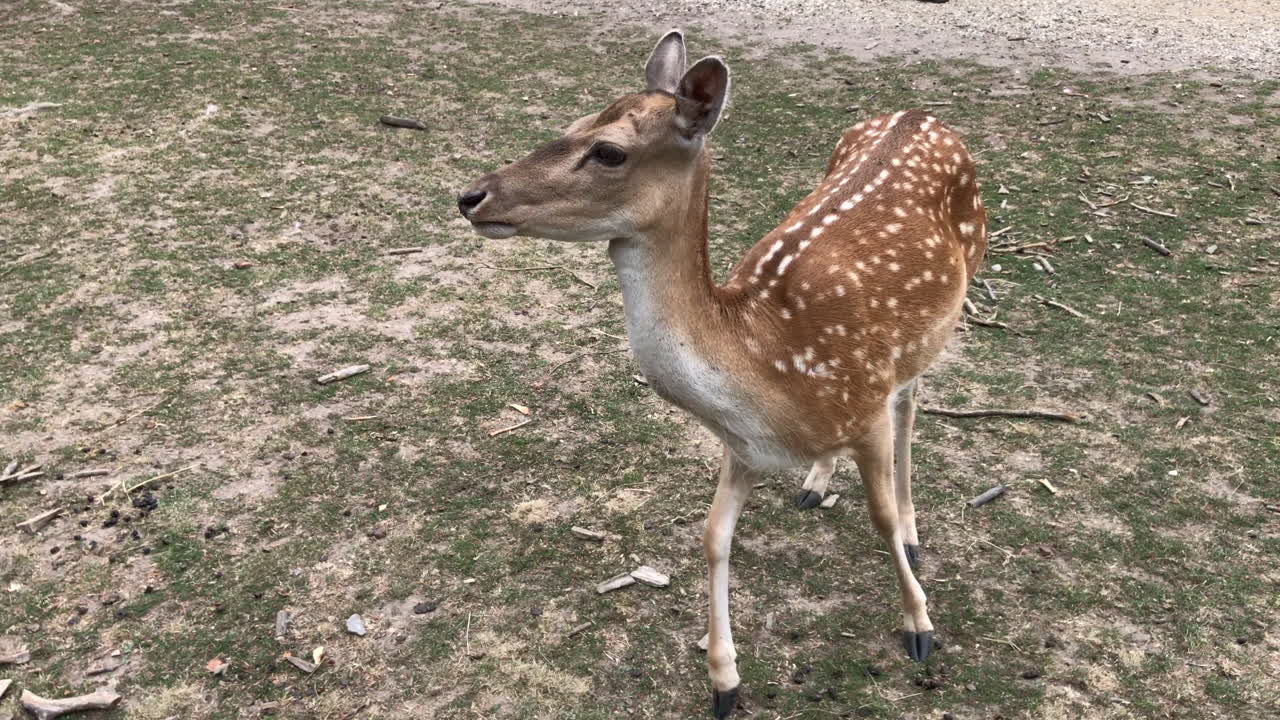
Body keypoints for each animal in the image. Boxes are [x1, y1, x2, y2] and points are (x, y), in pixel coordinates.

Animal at [458, 31, 986, 719]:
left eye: (609, 150)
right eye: (573, 123)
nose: (471, 196)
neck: (769, 363)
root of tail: (921, 114)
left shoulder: (866, 399)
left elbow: (881, 519)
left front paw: (920, 626)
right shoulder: (742, 447)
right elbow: (712, 537)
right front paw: (723, 680)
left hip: (944, 308)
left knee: (913, 403)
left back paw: (913, 526)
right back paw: (815, 480)